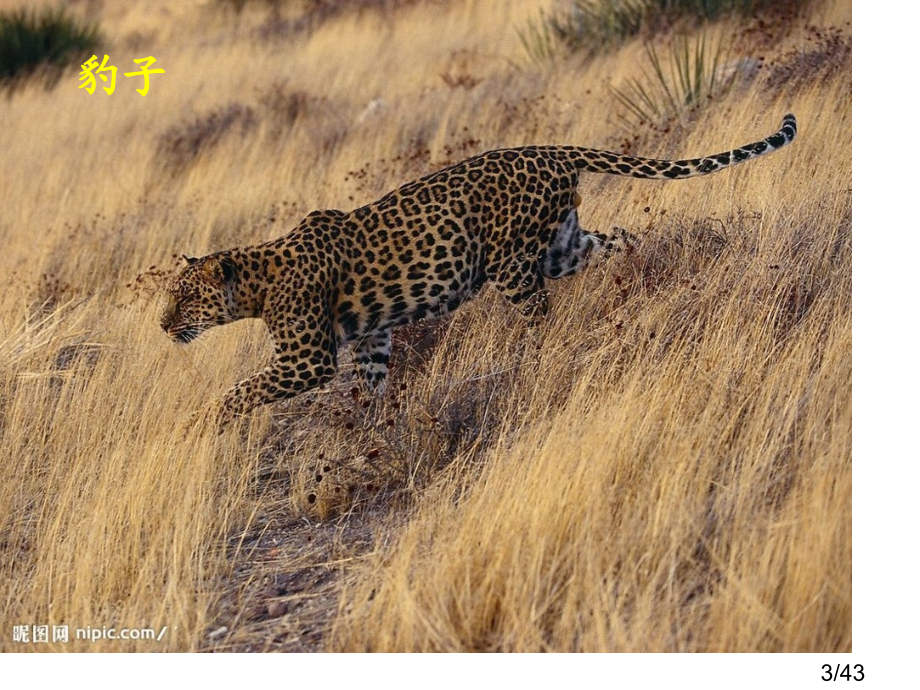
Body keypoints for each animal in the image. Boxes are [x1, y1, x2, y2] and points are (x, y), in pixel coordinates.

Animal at [160, 114, 796, 424]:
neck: (257, 282)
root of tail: (551, 149)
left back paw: (537, 360)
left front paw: (205, 423)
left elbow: (243, 390)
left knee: (541, 317)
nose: (164, 326)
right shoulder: (371, 339)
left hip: (511, 265)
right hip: (562, 246)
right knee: (621, 240)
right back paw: (653, 276)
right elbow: (370, 385)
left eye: (185, 298)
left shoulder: (306, 359)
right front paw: (364, 429)